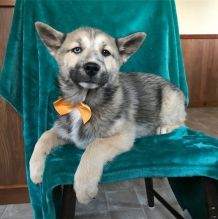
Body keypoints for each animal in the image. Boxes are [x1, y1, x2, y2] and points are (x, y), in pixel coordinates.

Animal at [29, 22, 186, 204]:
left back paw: (164, 128)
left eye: (105, 52)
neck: (85, 104)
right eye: (77, 49)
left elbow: (95, 145)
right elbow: (43, 137)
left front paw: (84, 187)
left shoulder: (123, 136)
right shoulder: (62, 130)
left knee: (182, 122)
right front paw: (35, 168)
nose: (91, 67)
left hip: (169, 99)